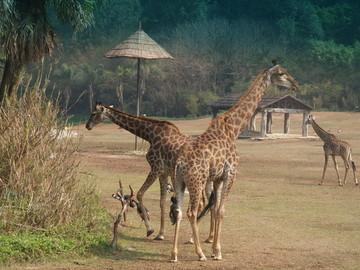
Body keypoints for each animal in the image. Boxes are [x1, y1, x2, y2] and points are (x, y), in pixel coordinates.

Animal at [85, 103, 212, 240]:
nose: (87, 126)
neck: (151, 135)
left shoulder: (155, 168)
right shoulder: (163, 173)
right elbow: (162, 201)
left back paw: (193, 238)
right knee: (209, 201)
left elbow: (140, 194)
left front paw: (150, 230)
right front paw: (160, 234)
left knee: (202, 202)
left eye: (93, 113)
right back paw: (207, 238)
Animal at [170, 61, 300, 262]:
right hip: (197, 182)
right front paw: (217, 252)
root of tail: (180, 163)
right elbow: (222, 210)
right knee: (192, 212)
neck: (233, 129)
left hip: (179, 181)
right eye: (281, 73)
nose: (295, 84)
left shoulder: (217, 178)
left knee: (179, 211)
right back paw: (200, 254)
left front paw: (214, 249)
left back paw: (174, 254)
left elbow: (216, 209)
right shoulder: (230, 174)